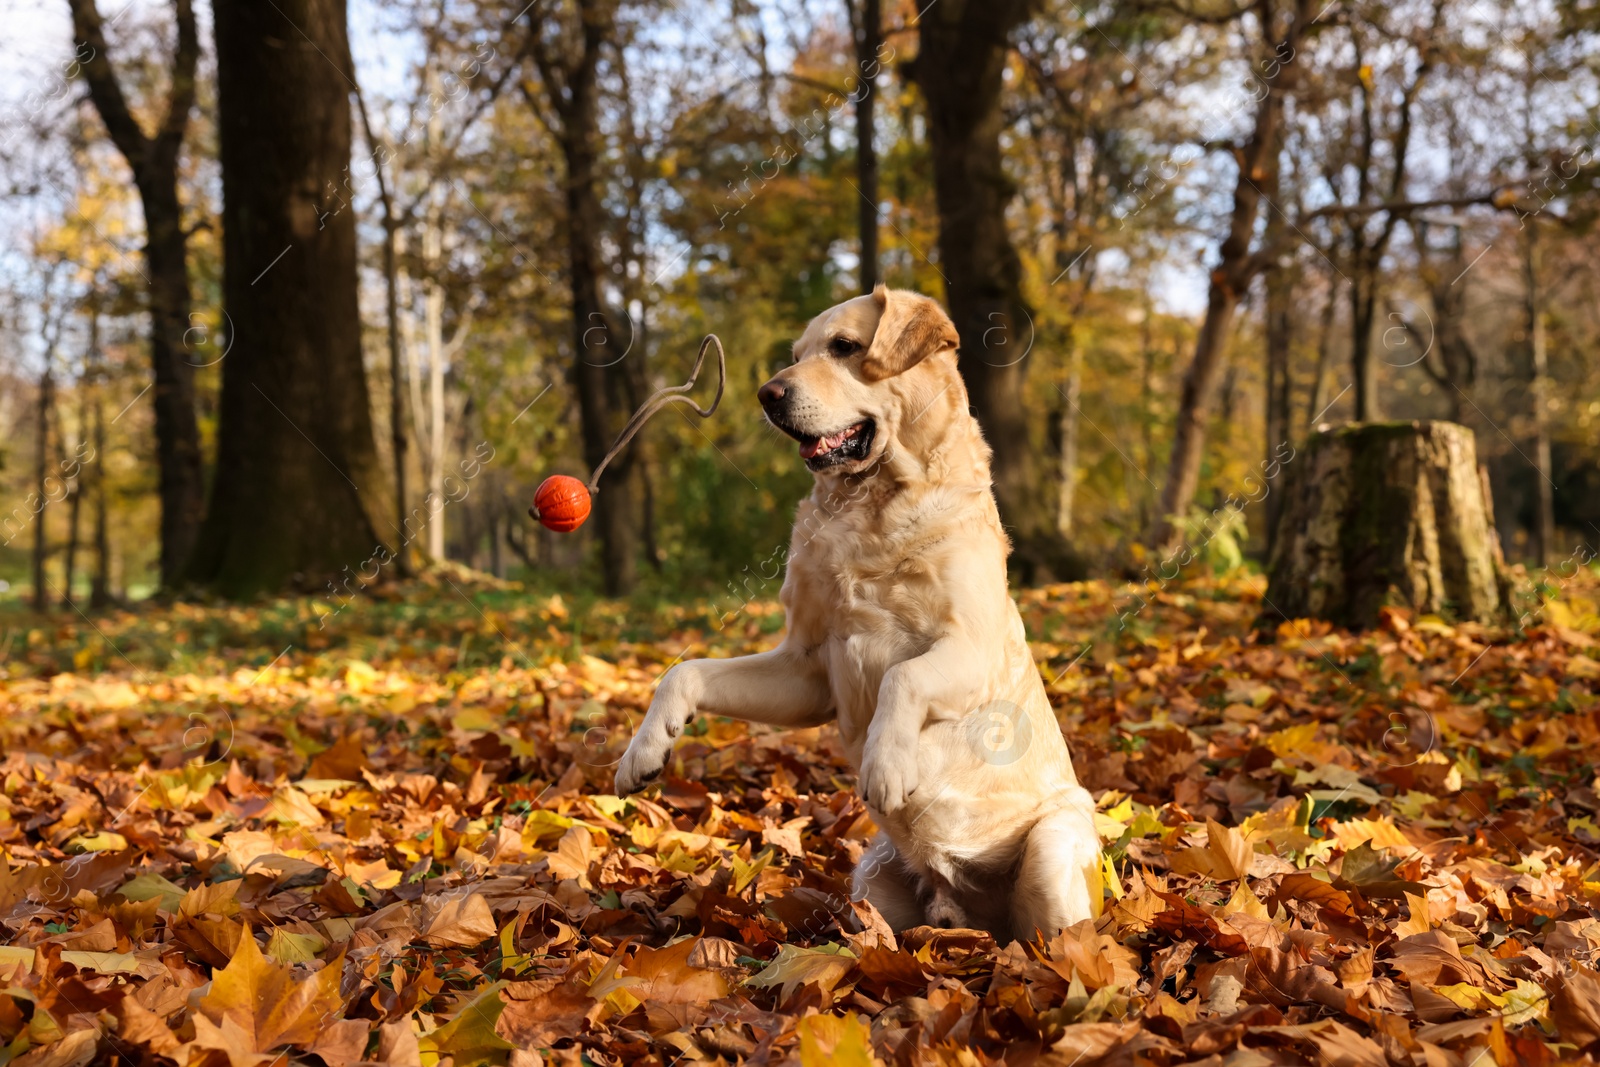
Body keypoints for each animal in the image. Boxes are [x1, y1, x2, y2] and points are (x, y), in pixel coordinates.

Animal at [611, 286, 1100, 940]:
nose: (768, 393)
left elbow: (903, 675)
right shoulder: (807, 668)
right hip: (872, 874)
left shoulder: (969, 646)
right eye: (796, 354)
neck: (871, 504)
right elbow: (681, 670)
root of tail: (977, 917)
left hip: (1052, 852)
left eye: (845, 346)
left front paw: (884, 763)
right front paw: (643, 751)